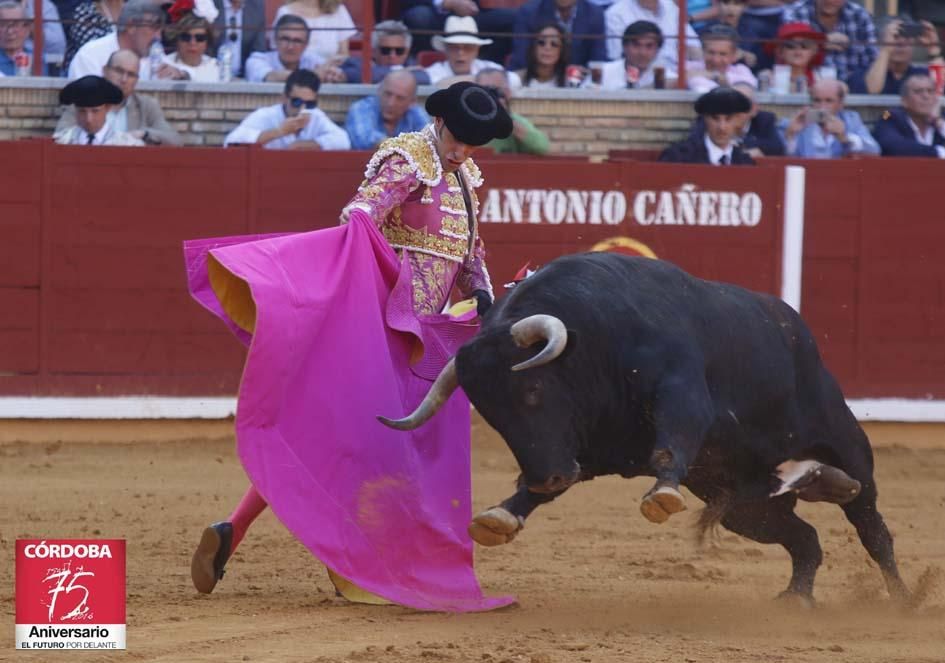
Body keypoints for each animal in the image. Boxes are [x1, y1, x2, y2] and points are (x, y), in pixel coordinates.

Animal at [380, 252, 912, 604]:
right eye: (491, 414)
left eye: (532, 392)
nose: (545, 476)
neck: (593, 338)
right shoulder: (590, 448)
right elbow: (553, 487)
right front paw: (500, 517)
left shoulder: (682, 392)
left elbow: (673, 441)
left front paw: (662, 495)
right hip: (747, 508)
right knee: (804, 537)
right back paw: (799, 588)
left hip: (846, 442)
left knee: (872, 527)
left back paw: (903, 598)